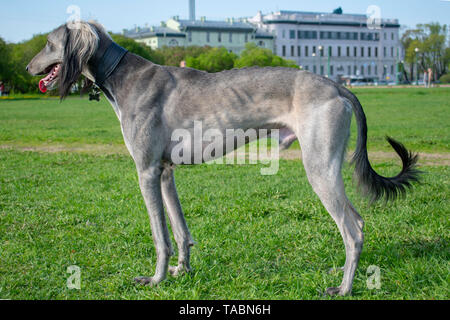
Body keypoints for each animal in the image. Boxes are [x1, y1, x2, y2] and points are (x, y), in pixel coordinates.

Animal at [27, 22, 422, 296]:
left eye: (48, 43)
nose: (28, 67)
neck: (124, 76)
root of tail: (337, 85)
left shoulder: (146, 172)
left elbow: (160, 235)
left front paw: (155, 279)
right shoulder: (164, 172)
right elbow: (180, 230)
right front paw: (181, 271)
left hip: (319, 168)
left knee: (352, 230)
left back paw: (344, 288)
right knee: (356, 224)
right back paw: (339, 272)